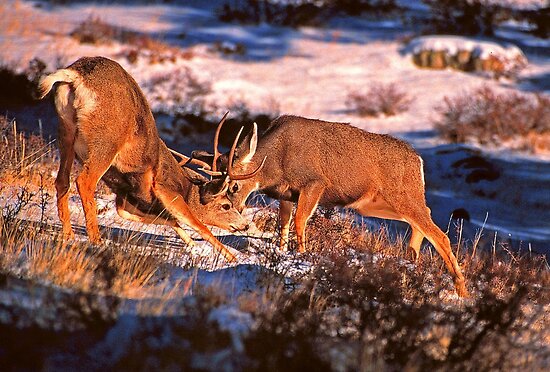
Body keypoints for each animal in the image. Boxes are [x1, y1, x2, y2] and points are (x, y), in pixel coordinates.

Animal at [39, 56, 256, 264]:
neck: (185, 184)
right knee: (84, 182)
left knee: (62, 181)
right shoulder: (165, 189)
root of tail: (75, 75)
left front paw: (194, 246)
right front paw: (232, 258)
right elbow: (197, 224)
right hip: (107, 140)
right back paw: (96, 239)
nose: (244, 225)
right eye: (226, 205)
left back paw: (69, 235)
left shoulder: (126, 198)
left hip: (66, 131)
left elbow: (162, 219)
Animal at [196, 115, 468, 296]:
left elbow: (300, 221)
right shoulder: (286, 195)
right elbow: (283, 224)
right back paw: (411, 264)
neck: (276, 162)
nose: (235, 212)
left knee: (439, 233)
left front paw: (302, 256)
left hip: (403, 196)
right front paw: (281, 252)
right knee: (422, 222)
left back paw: (461, 290)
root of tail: (418, 160)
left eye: (233, 187)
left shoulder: (314, 182)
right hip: (380, 204)